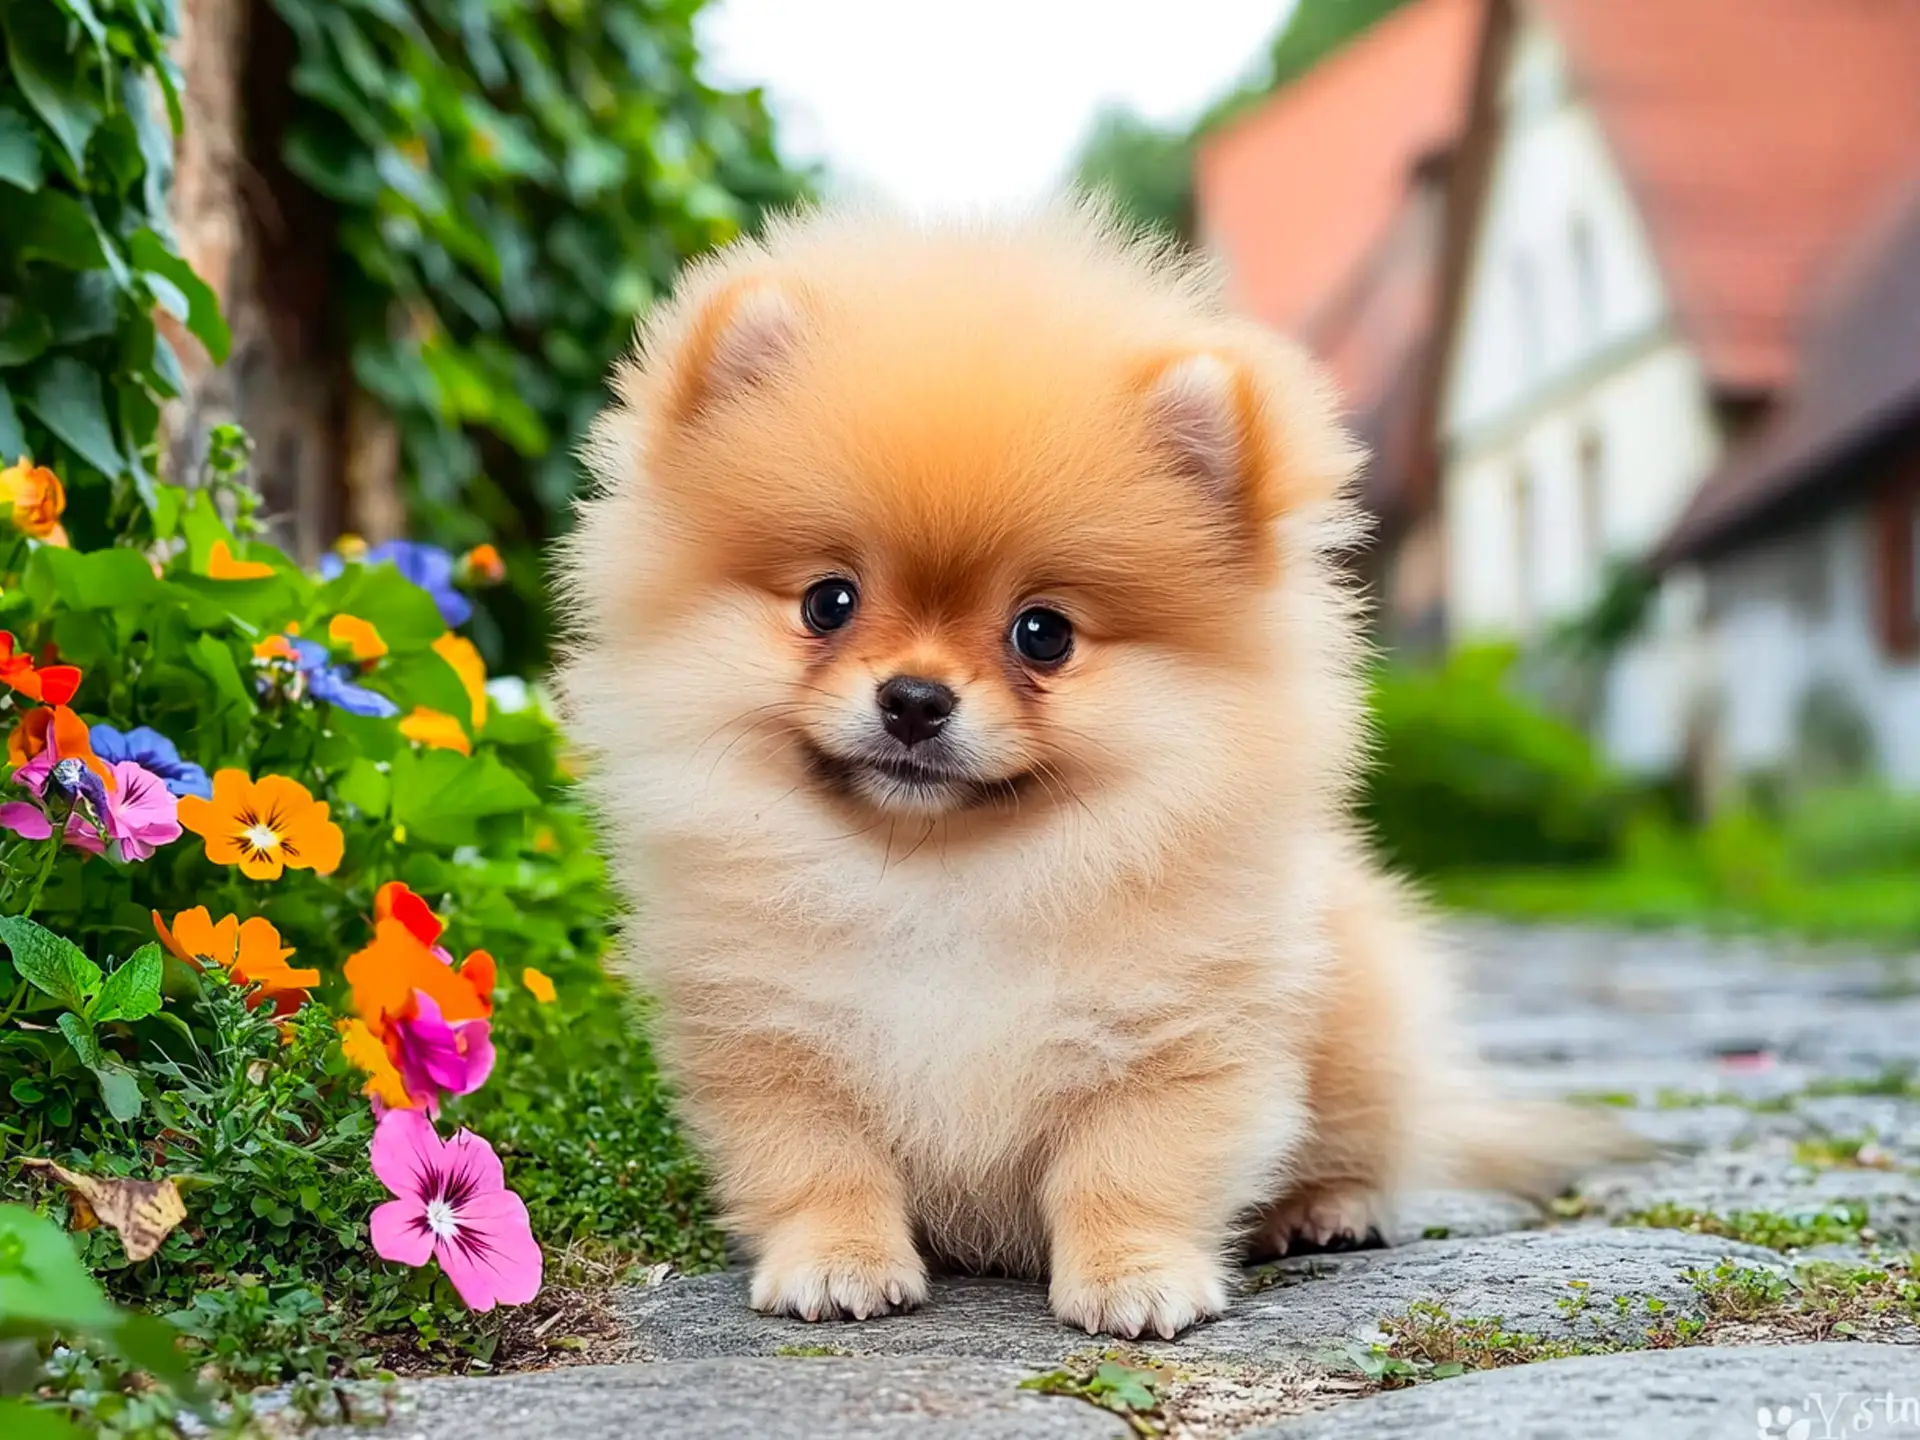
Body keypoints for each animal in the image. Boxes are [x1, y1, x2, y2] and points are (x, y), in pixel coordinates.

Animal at [556, 203, 1620, 1344]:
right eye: (828, 602)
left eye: (1044, 634)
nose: (915, 700)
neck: (939, 876)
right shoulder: (773, 1043)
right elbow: (820, 1165)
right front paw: (836, 1263)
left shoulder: (1172, 1038)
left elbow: (1129, 1168)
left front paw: (1134, 1278)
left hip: (1361, 1024)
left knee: (1366, 1145)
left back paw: (1324, 1210)